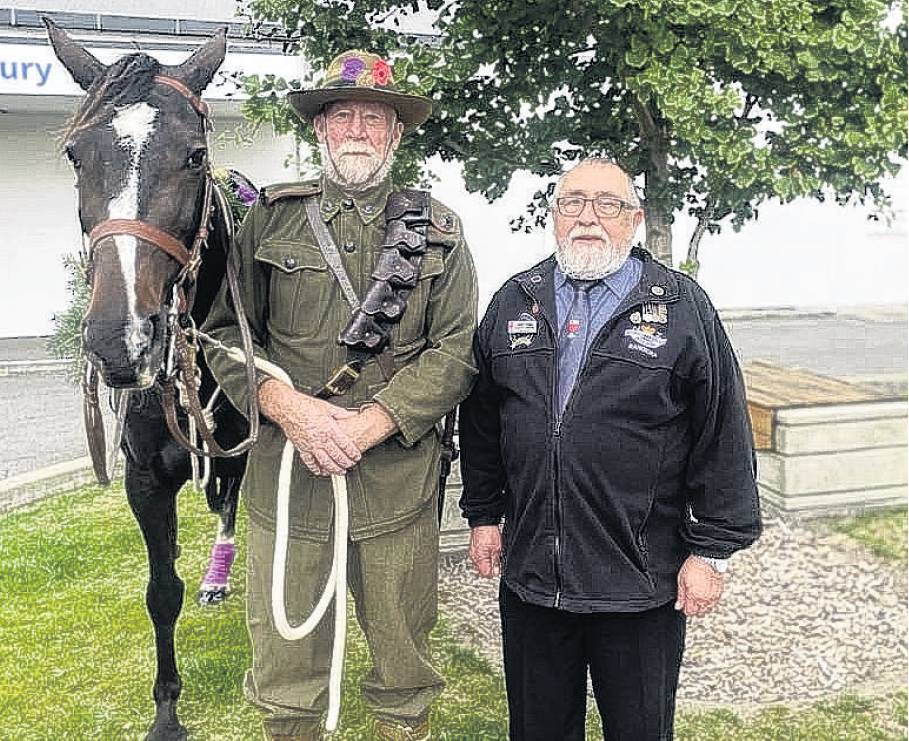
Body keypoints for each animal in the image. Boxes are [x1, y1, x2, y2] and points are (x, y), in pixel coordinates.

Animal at [48, 20, 258, 736]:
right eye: (76, 156)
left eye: (194, 156)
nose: (120, 340)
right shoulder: (143, 477)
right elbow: (160, 591)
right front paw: (167, 709)